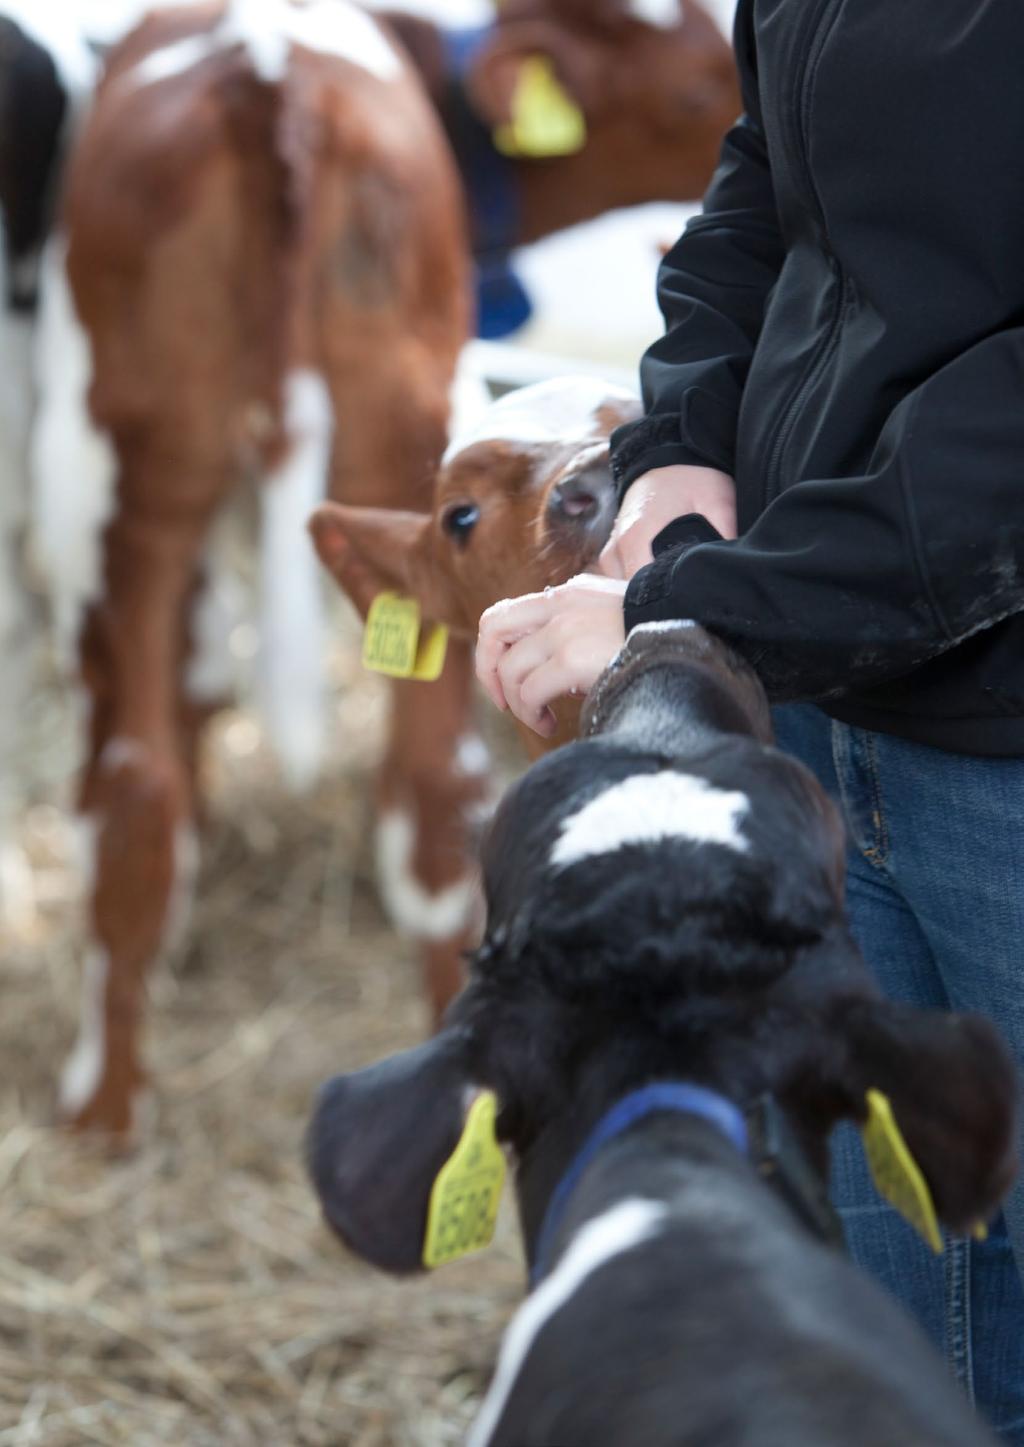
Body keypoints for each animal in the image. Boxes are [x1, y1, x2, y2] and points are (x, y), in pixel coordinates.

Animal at [30, 0, 477, 1134]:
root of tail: (272, 75)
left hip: (115, 486)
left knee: (130, 784)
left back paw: (102, 1107)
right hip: (424, 464)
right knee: (437, 794)